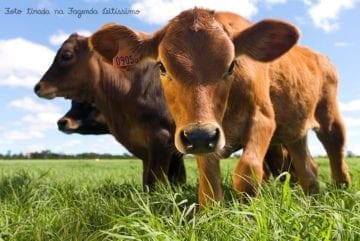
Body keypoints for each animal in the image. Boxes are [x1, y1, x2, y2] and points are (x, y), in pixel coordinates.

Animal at [90, 8, 352, 206]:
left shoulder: (263, 119)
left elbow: (247, 172)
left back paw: (342, 192)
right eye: (162, 67)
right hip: (294, 129)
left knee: (336, 151)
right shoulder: (200, 137)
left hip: (329, 117)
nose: (200, 134)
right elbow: (208, 185)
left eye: (231, 65)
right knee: (308, 168)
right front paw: (210, 217)